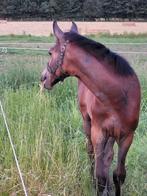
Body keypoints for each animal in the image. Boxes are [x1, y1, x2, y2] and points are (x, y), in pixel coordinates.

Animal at [40, 20, 141, 195]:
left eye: (50, 52)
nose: (43, 78)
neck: (118, 96)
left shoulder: (127, 136)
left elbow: (119, 174)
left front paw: (111, 186)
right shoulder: (98, 132)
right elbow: (100, 174)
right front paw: (97, 185)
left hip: (112, 134)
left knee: (107, 156)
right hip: (87, 122)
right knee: (91, 152)